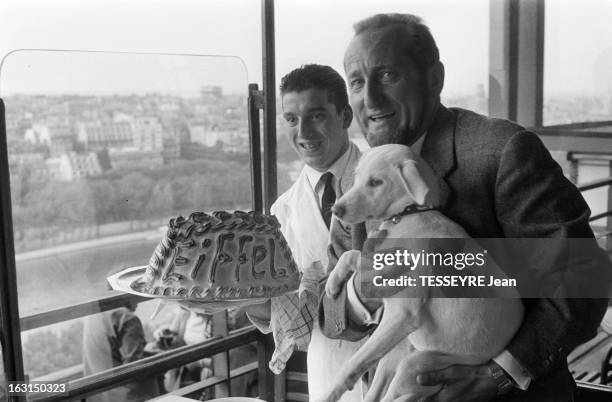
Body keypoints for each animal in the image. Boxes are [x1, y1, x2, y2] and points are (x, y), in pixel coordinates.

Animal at [318, 144, 524, 402]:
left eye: (376, 182)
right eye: (356, 177)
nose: (336, 209)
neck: (408, 214)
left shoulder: (403, 314)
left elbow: (351, 364)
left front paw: (330, 393)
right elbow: (351, 254)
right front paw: (333, 283)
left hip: (416, 364)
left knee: (394, 395)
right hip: (397, 352)